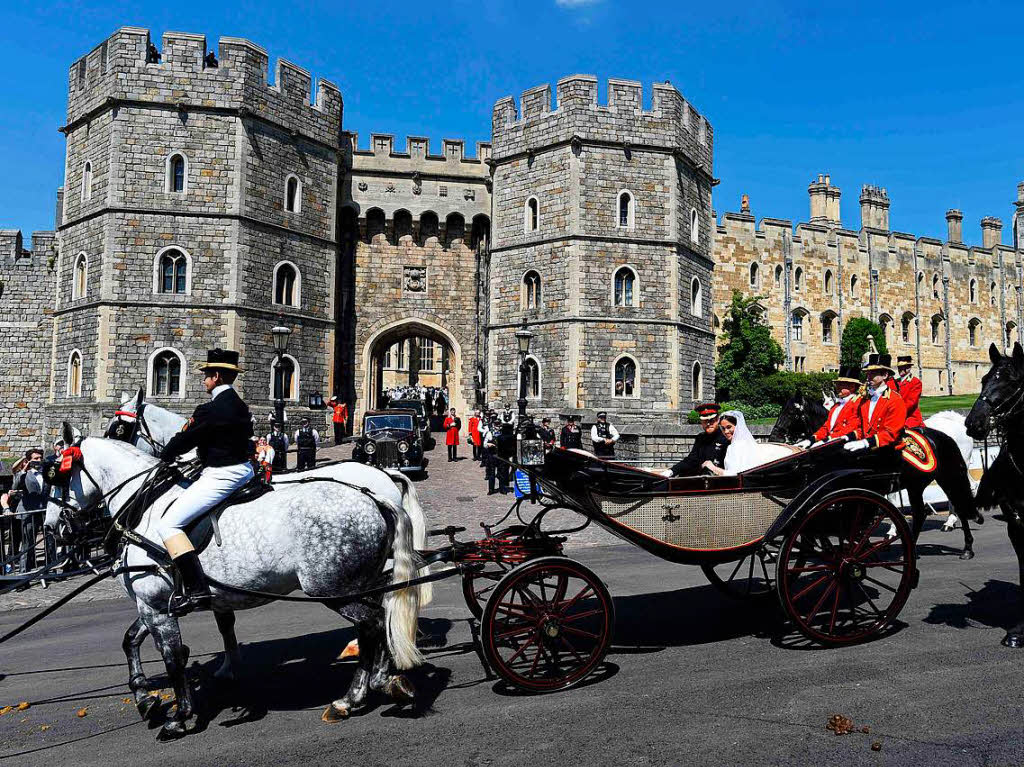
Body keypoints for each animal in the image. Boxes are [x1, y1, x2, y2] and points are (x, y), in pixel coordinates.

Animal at [46, 430, 421, 737]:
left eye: (58, 478)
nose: (55, 528)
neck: (146, 508)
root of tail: (373, 496)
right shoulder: (154, 602)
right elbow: (131, 640)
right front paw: (144, 698)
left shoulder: (155, 606)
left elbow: (172, 657)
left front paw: (179, 716)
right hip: (361, 584)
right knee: (380, 619)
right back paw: (379, 681)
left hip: (334, 590)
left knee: (372, 624)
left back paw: (352, 697)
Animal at [770, 391, 978, 561]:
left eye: (791, 413)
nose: (774, 437)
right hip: (917, 483)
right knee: (922, 512)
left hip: (951, 474)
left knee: (961, 499)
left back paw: (963, 542)